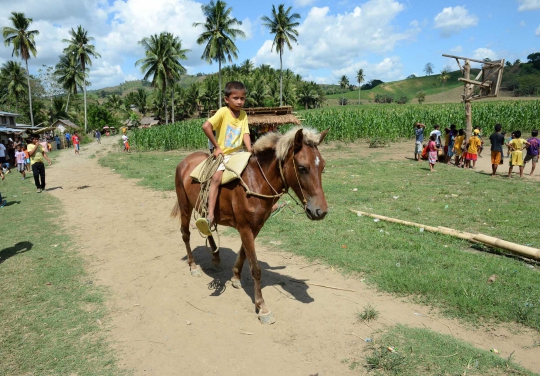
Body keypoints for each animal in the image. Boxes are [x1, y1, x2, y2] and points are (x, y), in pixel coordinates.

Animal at [171, 127, 330, 324]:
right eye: (302, 168)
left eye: (322, 166)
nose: (320, 211)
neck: (258, 181)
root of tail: (184, 162)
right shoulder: (245, 227)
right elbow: (255, 268)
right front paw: (262, 308)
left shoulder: (254, 227)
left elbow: (243, 253)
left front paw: (235, 277)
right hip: (185, 206)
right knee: (185, 234)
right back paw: (193, 266)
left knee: (207, 227)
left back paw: (215, 256)